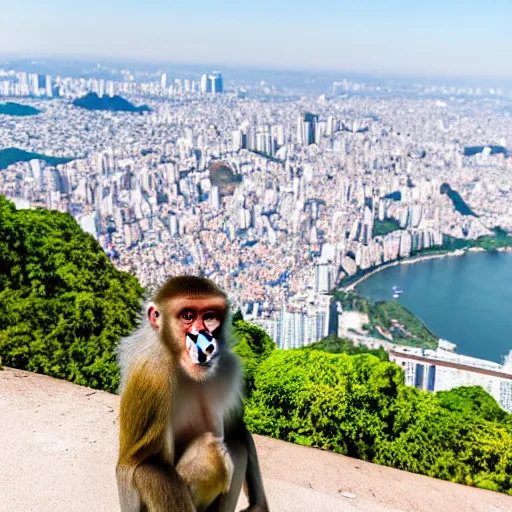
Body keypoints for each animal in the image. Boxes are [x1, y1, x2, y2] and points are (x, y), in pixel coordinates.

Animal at [115, 276, 268, 512]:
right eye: (187, 316)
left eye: (209, 316)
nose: (204, 338)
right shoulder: (152, 374)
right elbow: (146, 465)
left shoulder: (230, 367)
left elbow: (236, 428)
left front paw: (258, 505)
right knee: (212, 452)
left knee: (236, 446)